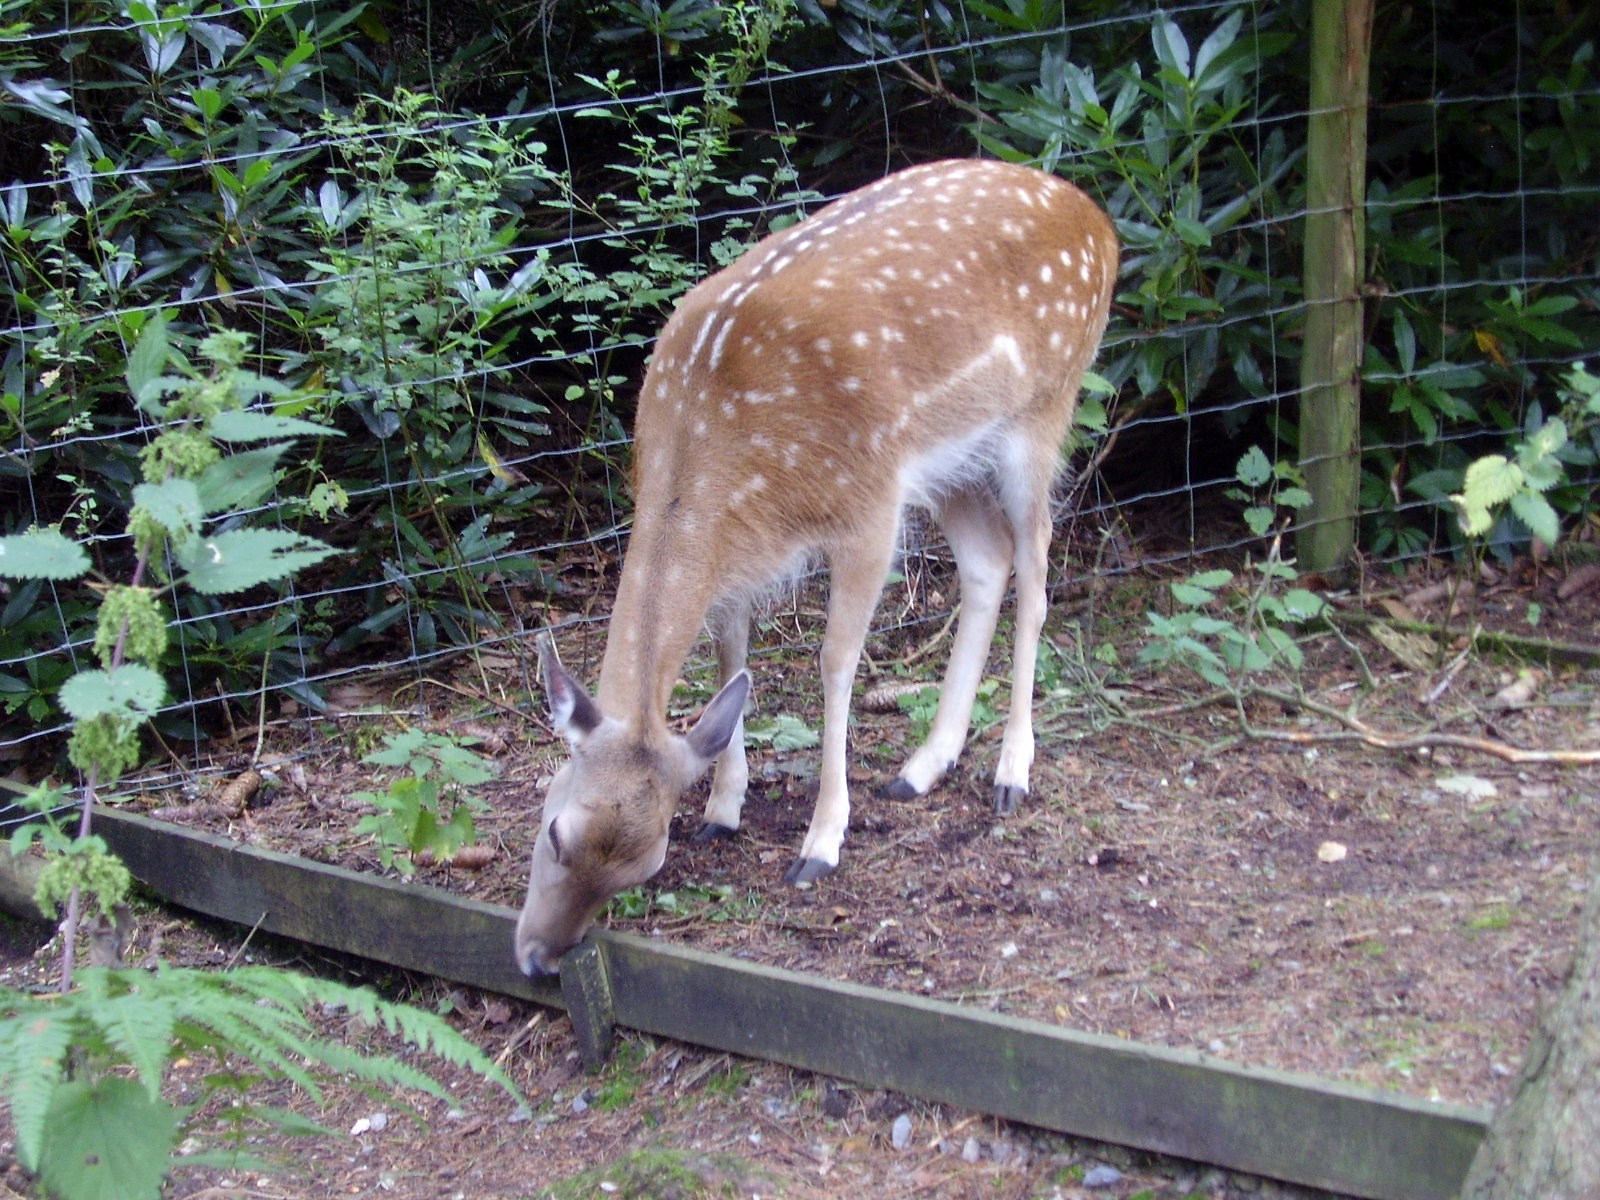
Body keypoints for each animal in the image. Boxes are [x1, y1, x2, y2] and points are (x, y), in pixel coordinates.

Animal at [515, 158, 1117, 977]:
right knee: (989, 563)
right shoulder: (745, 544)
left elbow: (834, 662)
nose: (540, 959)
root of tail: (1099, 221)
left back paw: (1011, 772)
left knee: (1039, 569)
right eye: (555, 832)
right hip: (952, 459)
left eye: (643, 864)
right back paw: (923, 766)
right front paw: (723, 809)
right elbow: (730, 654)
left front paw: (821, 842)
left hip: (1045, 408)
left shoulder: (868, 506)